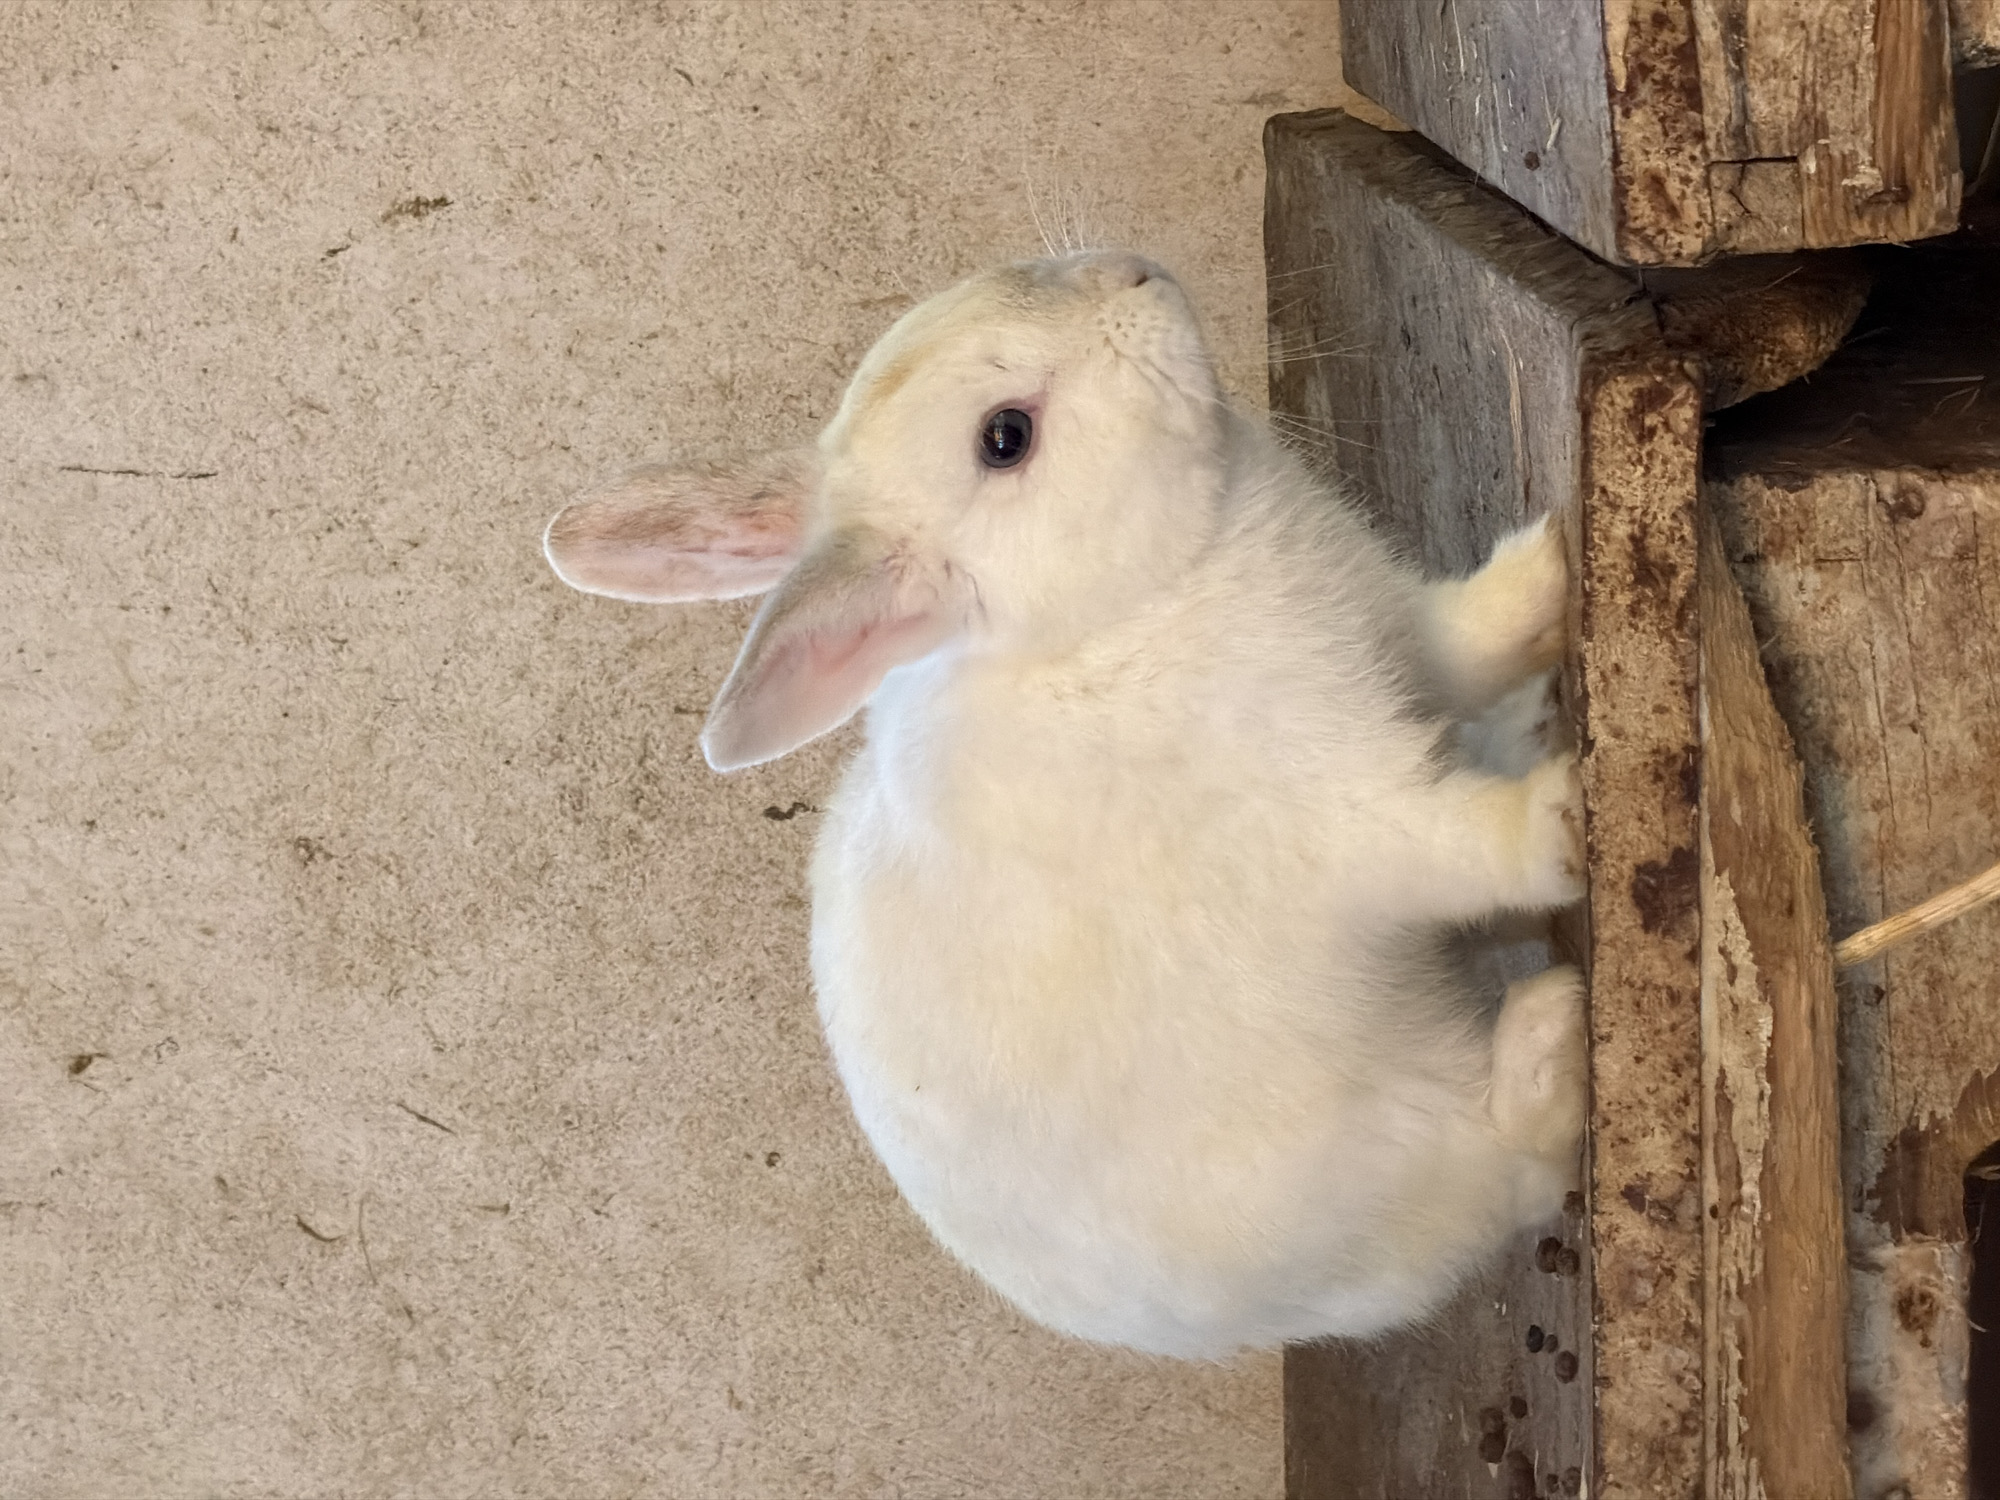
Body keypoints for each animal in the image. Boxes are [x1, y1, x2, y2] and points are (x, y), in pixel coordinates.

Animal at [543, 250, 1587, 1359]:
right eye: (1005, 437)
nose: (1135, 272)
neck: (1113, 613)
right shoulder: (1339, 827)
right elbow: (1462, 847)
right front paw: (1563, 818)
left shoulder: (1409, 640)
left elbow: (1474, 639)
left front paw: (1549, 569)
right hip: (1403, 1153)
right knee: (1514, 1167)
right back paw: (1552, 1031)